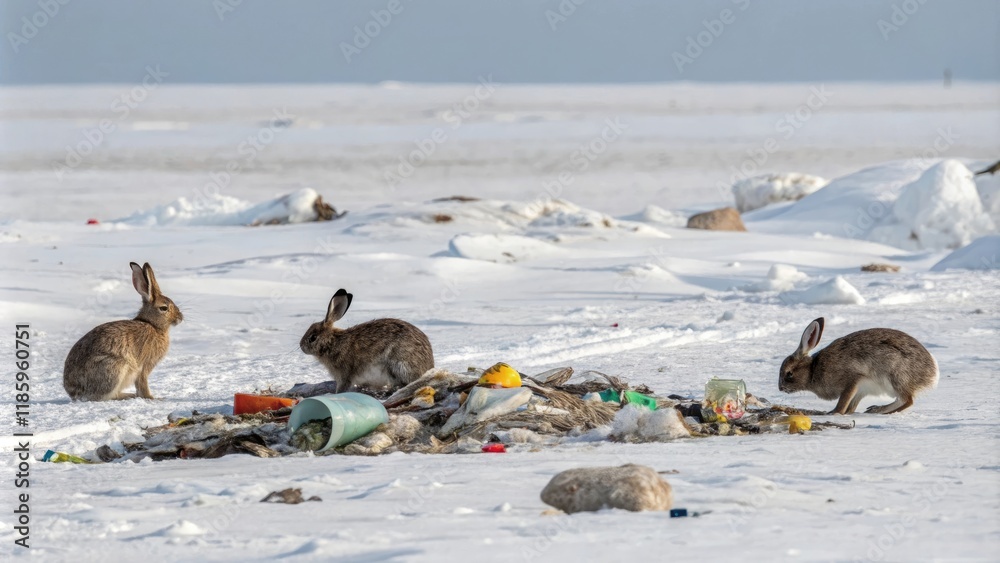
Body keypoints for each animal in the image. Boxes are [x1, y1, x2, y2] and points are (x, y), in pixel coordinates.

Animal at [64, 262, 183, 401]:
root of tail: (75, 393)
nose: (180, 318)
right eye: (164, 308)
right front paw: (152, 398)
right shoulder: (144, 366)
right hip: (114, 369)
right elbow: (142, 383)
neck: (153, 325)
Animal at [299, 289, 434, 396]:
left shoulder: (344, 374)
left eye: (313, 337)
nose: (301, 346)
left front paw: (335, 394)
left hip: (398, 365)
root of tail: (429, 367)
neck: (332, 342)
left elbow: (343, 387)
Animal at [779, 317, 938, 414]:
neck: (813, 370)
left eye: (789, 373)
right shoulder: (860, 390)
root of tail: (933, 374)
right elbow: (851, 406)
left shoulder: (853, 379)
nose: (780, 388)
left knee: (907, 400)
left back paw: (879, 410)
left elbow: (843, 402)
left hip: (895, 376)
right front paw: (847, 413)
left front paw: (834, 413)